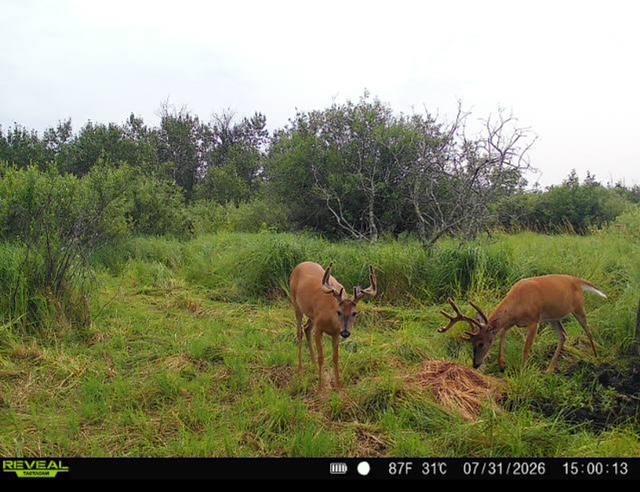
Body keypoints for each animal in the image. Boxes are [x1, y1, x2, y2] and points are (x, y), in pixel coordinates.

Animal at [289, 261, 377, 390]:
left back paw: (314, 366)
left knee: (306, 328)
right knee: (299, 332)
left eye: (354, 313)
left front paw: (338, 385)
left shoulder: (336, 333)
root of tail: (301, 264)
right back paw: (300, 370)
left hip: (312, 316)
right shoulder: (319, 328)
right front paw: (320, 386)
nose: (345, 332)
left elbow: (335, 357)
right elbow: (321, 357)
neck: (331, 320)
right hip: (296, 304)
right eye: (339, 312)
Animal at [438, 274, 607, 374]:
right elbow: (503, 334)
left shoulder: (534, 320)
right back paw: (549, 369)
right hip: (552, 318)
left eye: (481, 343)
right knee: (563, 335)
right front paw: (502, 364)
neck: (517, 302)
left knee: (587, 330)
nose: (475, 364)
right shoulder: (513, 322)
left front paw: (523, 370)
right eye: (471, 343)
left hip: (578, 307)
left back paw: (596, 357)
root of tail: (578, 280)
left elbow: (526, 348)